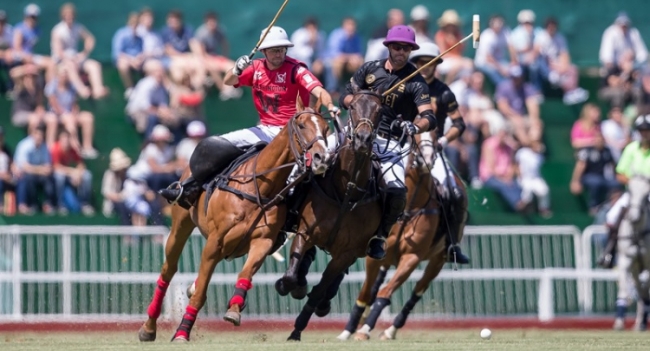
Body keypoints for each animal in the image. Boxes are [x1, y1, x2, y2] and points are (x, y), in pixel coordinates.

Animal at [136, 97, 330, 342]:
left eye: (326, 128)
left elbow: (245, 274)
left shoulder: (262, 241)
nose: (322, 158)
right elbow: (200, 294)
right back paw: (148, 328)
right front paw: (182, 332)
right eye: (302, 125)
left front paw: (234, 309)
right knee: (167, 271)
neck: (261, 187)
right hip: (180, 226)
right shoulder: (214, 242)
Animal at [272, 85, 382, 340]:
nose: (363, 139)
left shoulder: (347, 252)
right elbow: (292, 274)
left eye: (379, 110)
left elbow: (321, 287)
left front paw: (297, 329)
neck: (346, 191)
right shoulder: (305, 232)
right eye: (352, 106)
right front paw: (289, 285)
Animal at [334, 132, 466, 340]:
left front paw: (365, 329)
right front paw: (349, 330)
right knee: (376, 286)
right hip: (388, 258)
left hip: (438, 259)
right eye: (416, 134)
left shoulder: (411, 258)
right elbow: (366, 293)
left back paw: (391, 329)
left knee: (417, 292)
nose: (426, 158)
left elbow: (385, 293)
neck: (410, 208)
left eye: (435, 133)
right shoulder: (376, 255)